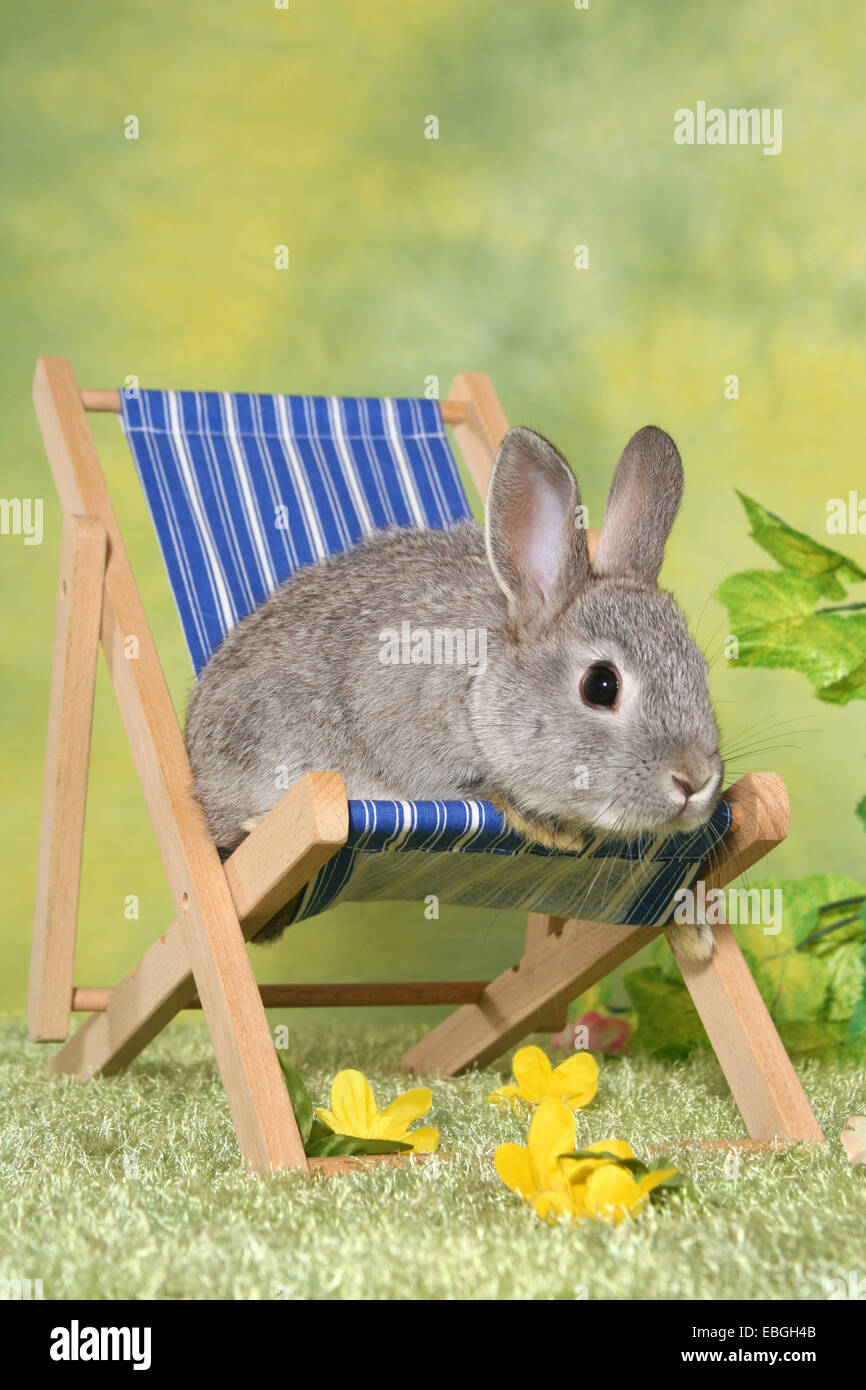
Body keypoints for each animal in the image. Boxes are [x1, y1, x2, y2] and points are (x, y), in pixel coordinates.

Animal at [185, 423, 724, 959]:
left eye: (700, 672)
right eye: (601, 685)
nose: (695, 780)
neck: (482, 683)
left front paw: (693, 936)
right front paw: (549, 829)